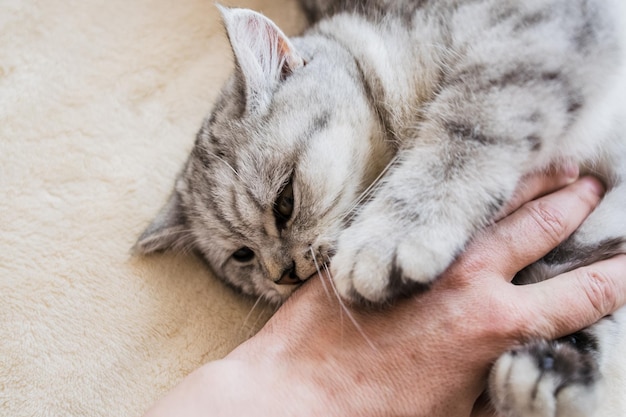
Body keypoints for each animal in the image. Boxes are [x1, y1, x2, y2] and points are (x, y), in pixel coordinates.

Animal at [135, 1, 624, 414]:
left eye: (285, 203)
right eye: (242, 256)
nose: (282, 275)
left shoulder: (532, 35)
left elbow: (464, 130)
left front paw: (394, 238)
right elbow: (573, 269)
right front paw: (551, 370)